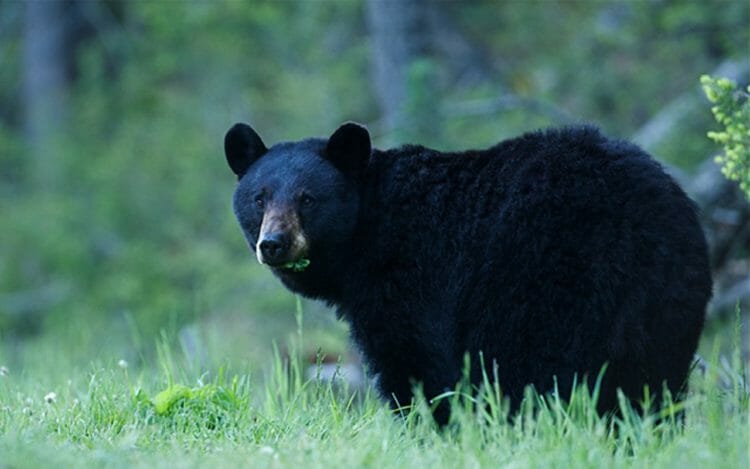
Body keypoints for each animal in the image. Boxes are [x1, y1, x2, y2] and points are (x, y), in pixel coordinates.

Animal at [225, 122, 716, 422]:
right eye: (259, 198)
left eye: (308, 198)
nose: (274, 244)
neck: (368, 232)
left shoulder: (411, 283)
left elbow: (414, 365)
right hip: (668, 306)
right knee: (652, 383)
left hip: (545, 286)